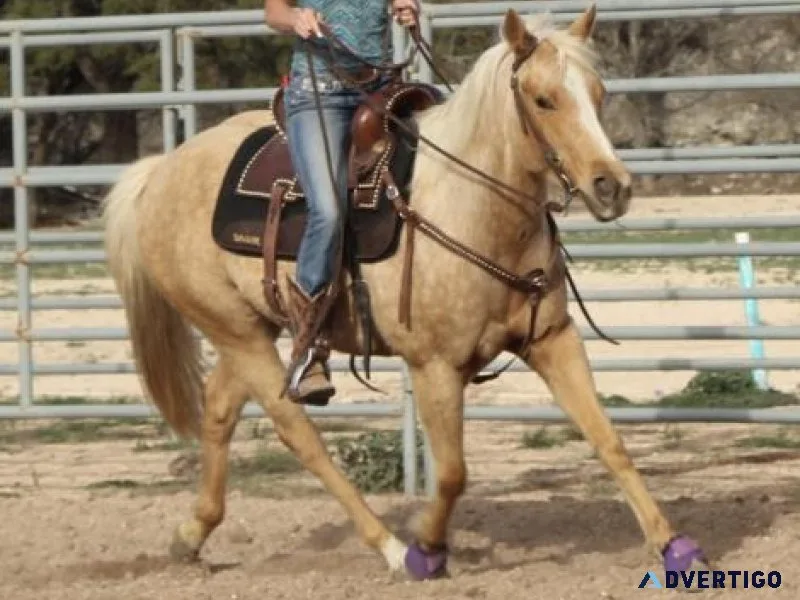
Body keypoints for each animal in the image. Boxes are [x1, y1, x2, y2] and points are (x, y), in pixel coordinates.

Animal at [102, 5, 709, 581]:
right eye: (543, 100)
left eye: (599, 94)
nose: (613, 186)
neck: (473, 208)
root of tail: (161, 171)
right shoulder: (435, 366)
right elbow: (453, 473)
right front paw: (427, 551)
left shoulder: (553, 341)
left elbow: (610, 441)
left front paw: (675, 547)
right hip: (234, 332)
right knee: (297, 432)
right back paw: (390, 548)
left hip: (252, 328)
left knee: (221, 412)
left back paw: (191, 534)